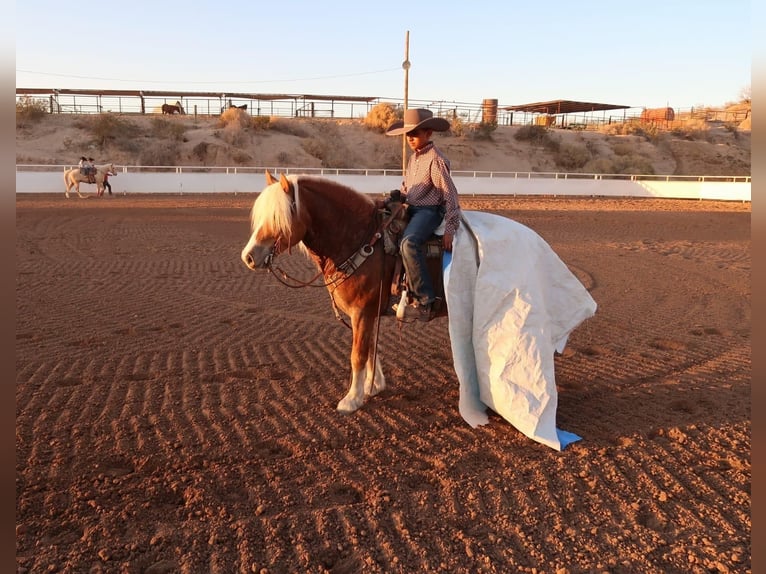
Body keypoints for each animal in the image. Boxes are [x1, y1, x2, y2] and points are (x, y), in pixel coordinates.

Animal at [243, 173, 416, 416]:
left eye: (277, 218)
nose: (248, 257)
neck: (364, 242)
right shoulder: (369, 313)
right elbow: (370, 349)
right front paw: (373, 386)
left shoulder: (362, 312)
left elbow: (358, 355)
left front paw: (352, 399)